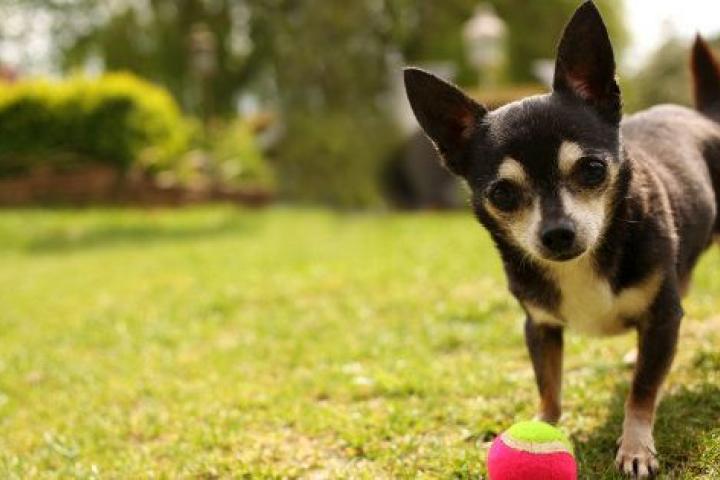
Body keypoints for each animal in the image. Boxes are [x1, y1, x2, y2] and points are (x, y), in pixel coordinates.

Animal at [403, 2, 720, 477]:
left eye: (592, 170)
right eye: (503, 193)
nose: (557, 233)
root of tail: (705, 115)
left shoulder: (662, 317)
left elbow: (642, 391)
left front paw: (636, 447)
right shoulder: (540, 326)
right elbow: (549, 383)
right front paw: (543, 425)